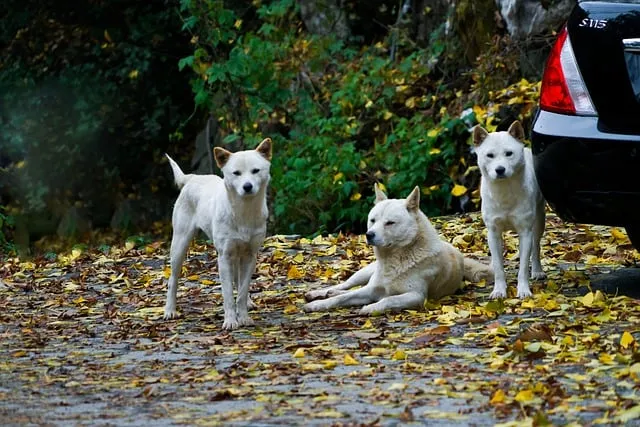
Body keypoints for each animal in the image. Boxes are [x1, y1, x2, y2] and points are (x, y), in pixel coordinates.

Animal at [164, 140, 272, 332]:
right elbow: (228, 294)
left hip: (237, 256)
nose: (247, 187)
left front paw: (244, 317)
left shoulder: (250, 256)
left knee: (239, 281)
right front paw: (230, 321)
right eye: (236, 173)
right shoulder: (224, 257)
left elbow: (242, 290)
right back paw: (170, 310)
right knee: (173, 280)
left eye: (255, 171)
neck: (243, 213)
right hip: (179, 245)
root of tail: (193, 178)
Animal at [302, 186, 492, 316]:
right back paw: (319, 293)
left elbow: (388, 299)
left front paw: (371, 307)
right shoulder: (371, 290)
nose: (369, 235)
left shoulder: (416, 295)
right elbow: (341, 298)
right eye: (373, 220)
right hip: (364, 272)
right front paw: (317, 305)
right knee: (346, 285)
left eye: (390, 223)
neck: (395, 260)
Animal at [476, 122, 544, 300]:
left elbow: (523, 266)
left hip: (539, 221)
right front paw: (499, 290)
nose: (500, 169)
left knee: (536, 246)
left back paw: (537, 271)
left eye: (509, 154)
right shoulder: (493, 232)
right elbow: (499, 267)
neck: (504, 192)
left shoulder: (525, 232)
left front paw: (524, 290)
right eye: (490, 155)